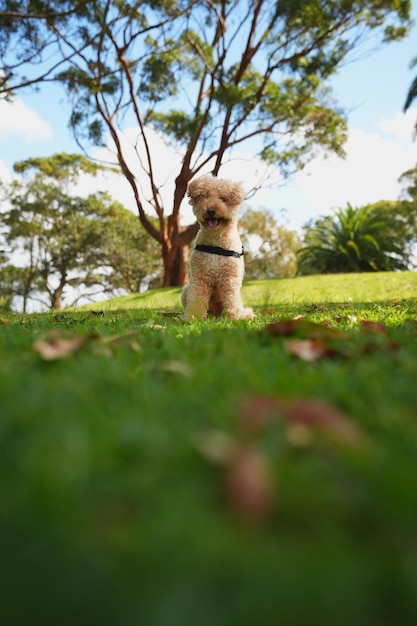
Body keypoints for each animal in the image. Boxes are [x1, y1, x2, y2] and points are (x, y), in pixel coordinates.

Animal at [181, 176, 254, 322]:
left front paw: (236, 317)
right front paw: (193, 317)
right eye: (204, 197)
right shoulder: (199, 277)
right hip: (186, 289)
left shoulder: (230, 278)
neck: (216, 243)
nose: (211, 210)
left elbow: (232, 300)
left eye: (223, 199)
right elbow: (196, 298)